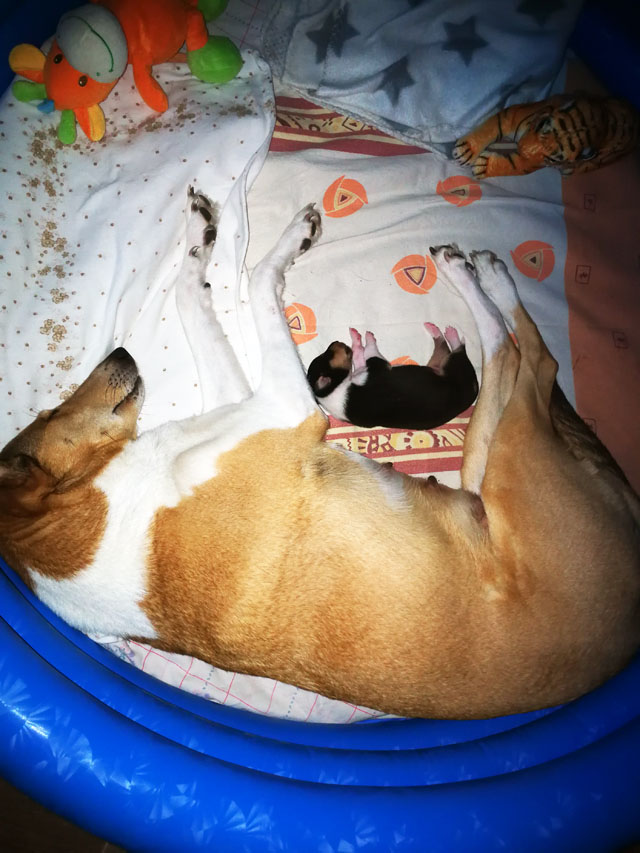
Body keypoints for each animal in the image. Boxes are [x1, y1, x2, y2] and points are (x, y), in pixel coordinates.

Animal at [307, 324, 478, 429]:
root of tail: (474, 391)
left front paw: (355, 338)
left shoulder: (362, 370)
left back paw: (435, 329)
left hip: (437, 363)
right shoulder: (376, 366)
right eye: (328, 356)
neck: (332, 390)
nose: (336, 342)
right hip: (454, 364)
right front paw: (368, 338)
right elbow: (369, 351)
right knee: (457, 348)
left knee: (441, 346)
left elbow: (359, 355)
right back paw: (451, 334)